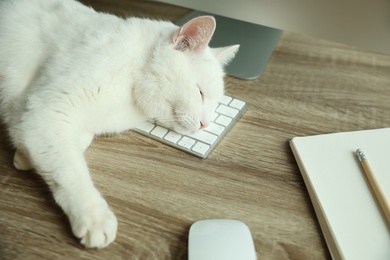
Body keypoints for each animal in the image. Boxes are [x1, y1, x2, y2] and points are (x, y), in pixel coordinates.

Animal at [0, 0, 238, 249]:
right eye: (200, 93)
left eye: (215, 105)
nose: (205, 124)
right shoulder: (46, 111)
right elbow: (69, 169)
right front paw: (93, 217)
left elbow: (68, 143)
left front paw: (23, 156)